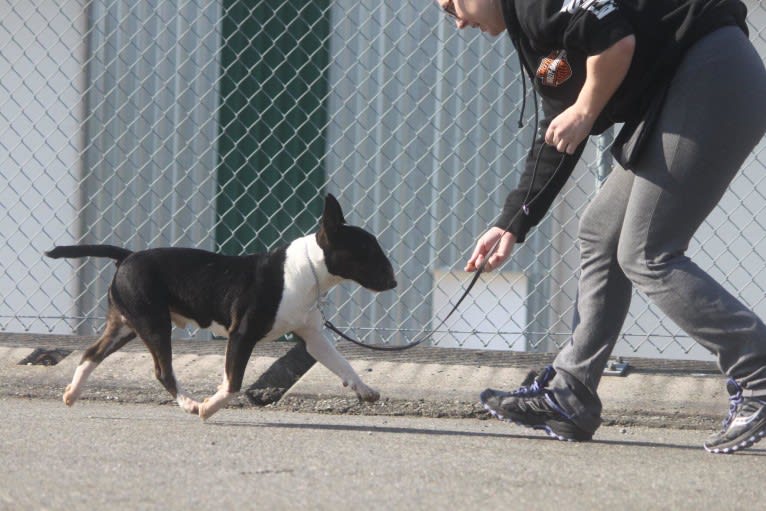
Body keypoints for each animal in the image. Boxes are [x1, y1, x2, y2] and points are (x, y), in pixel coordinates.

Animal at [45, 195, 400, 420]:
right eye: (367, 250)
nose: (394, 281)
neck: (308, 269)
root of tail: (127, 257)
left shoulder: (313, 337)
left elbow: (342, 364)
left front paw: (365, 390)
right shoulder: (241, 334)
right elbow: (233, 382)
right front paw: (209, 407)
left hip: (126, 325)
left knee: (92, 354)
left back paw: (71, 394)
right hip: (153, 324)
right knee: (162, 371)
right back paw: (190, 404)